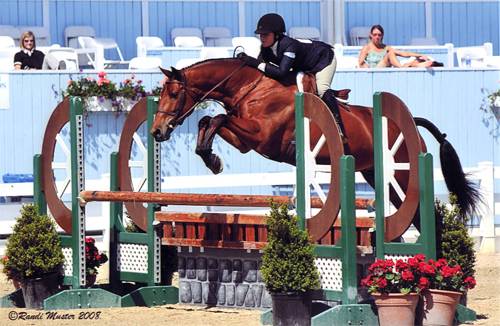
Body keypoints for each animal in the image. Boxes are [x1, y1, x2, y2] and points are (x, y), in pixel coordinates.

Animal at [151, 57, 480, 233]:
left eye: (174, 93)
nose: (157, 131)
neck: (250, 89)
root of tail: (411, 122)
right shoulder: (246, 141)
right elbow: (211, 121)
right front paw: (210, 157)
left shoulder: (261, 137)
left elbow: (218, 118)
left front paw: (212, 160)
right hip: (379, 177)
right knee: (415, 216)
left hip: (400, 174)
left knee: (424, 215)